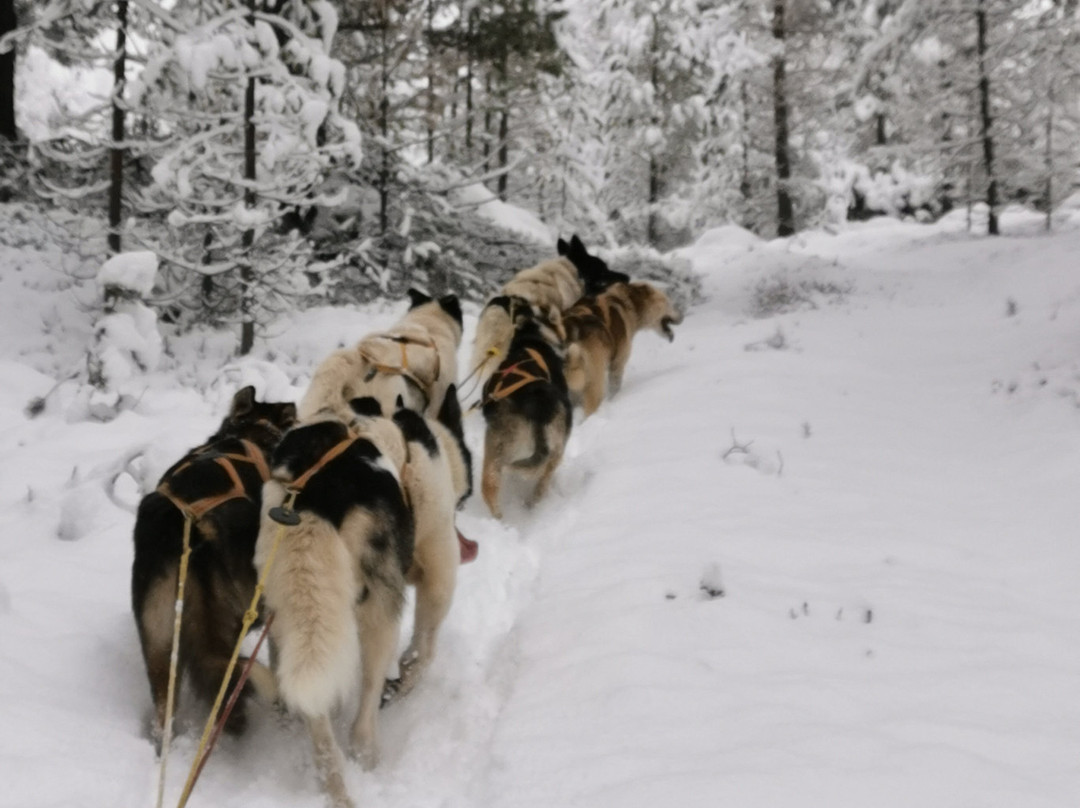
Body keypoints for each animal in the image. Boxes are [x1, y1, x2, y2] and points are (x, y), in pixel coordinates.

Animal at [257, 384, 473, 808]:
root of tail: (317, 494)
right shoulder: (439, 570)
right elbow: (422, 652)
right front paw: (402, 683)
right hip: (379, 611)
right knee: (364, 712)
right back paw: (367, 751)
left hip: (290, 614)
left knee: (319, 727)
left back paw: (336, 786)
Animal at [565, 280, 682, 416]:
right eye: (668, 302)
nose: (682, 316)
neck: (627, 303)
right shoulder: (617, 364)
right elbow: (614, 388)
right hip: (594, 381)